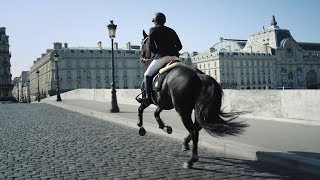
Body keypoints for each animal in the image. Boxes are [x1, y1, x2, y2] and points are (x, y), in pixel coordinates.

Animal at [135, 29, 248, 169]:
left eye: (143, 44)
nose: (141, 58)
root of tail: (199, 75)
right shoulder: (161, 103)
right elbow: (155, 113)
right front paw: (163, 126)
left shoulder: (150, 100)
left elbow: (141, 109)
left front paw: (141, 127)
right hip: (196, 108)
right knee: (197, 126)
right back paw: (185, 144)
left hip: (183, 110)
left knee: (194, 130)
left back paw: (191, 159)